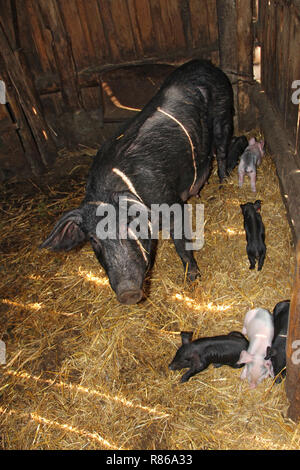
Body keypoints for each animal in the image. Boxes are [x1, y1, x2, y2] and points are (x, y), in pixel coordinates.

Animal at [39, 59, 234, 304]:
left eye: (130, 225)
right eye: (94, 239)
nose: (128, 292)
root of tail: (204, 63)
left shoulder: (172, 204)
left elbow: (182, 245)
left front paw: (193, 281)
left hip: (223, 115)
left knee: (222, 151)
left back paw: (224, 186)